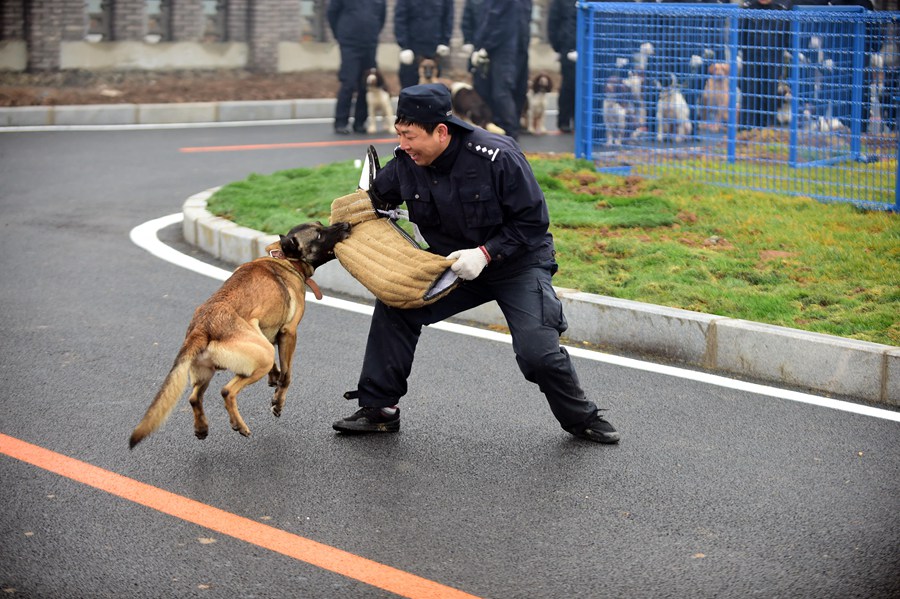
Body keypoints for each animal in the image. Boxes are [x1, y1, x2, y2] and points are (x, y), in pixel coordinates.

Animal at [128, 218, 350, 448]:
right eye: (318, 235)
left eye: (321, 224)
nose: (346, 225)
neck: (285, 259)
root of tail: (202, 327)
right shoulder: (289, 333)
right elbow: (287, 375)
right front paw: (278, 402)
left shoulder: (265, 335)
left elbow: (277, 369)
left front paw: (274, 378)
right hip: (260, 357)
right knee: (227, 391)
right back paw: (239, 425)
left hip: (211, 369)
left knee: (194, 398)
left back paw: (202, 428)